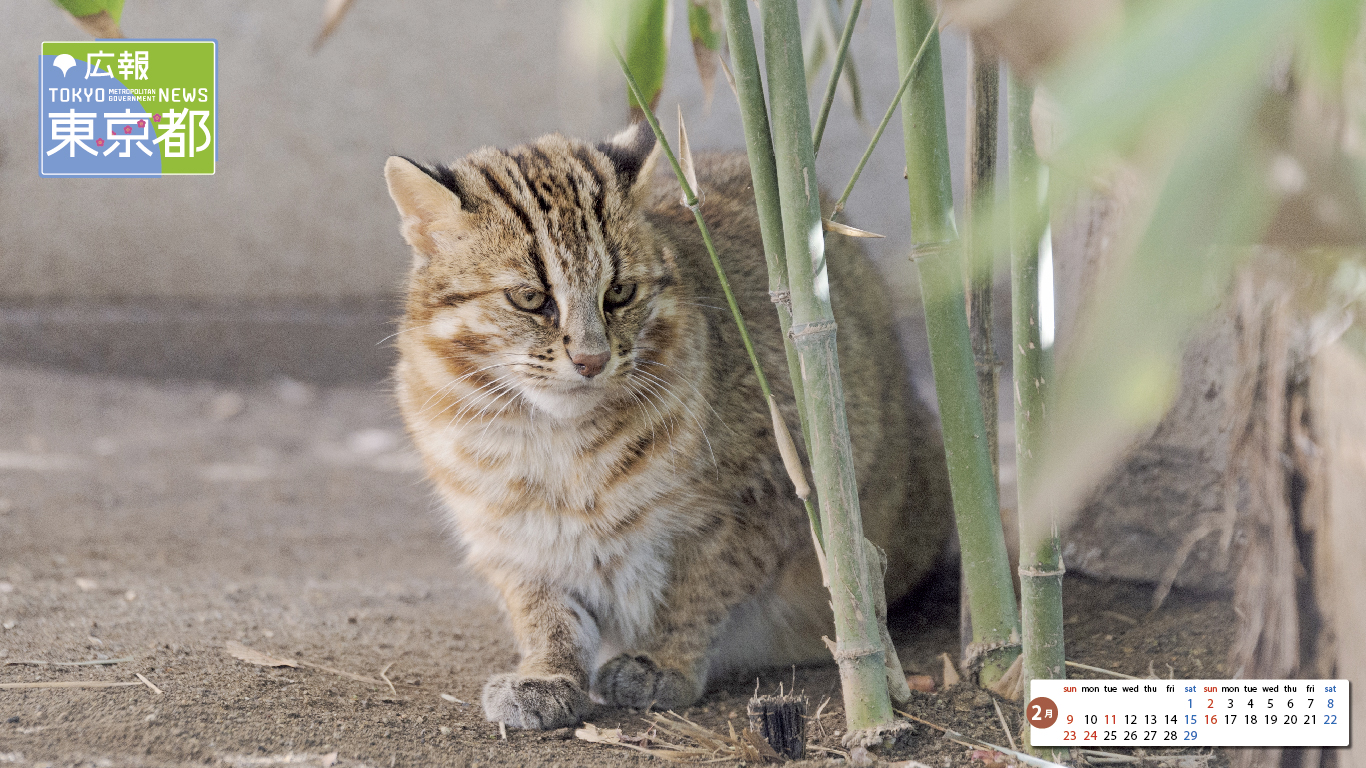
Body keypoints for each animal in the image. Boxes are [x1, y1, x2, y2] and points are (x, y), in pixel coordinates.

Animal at [379, 122, 945, 727]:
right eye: (529, 298)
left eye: (618, 292)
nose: (591, 360)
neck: (556, 440)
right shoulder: (508, 535)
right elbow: (545, 609)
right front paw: (546, 673)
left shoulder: (769, 493)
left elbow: (699, 585)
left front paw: (660, 661)